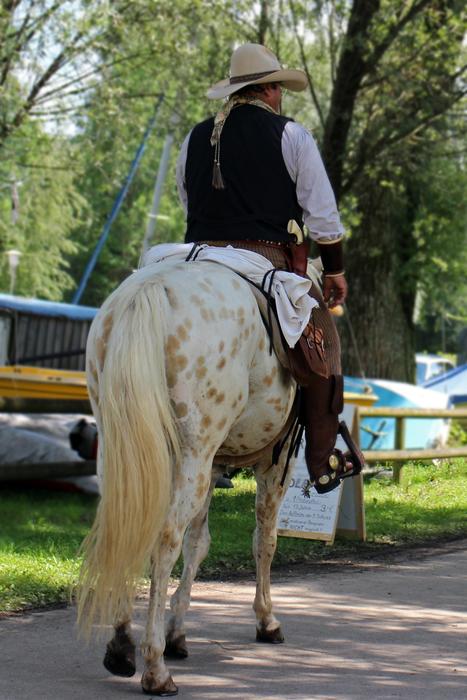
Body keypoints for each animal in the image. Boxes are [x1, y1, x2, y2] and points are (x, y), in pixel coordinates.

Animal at [77, 252, 301, 696]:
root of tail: (151, 288)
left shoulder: (213, 466)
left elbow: (199, 543)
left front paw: (178, 631)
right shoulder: (274, 463)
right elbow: (264, 540)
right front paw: (266, 619)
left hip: (125, 449)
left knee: (127, 522)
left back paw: (121, 645)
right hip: (194, 452)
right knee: (164, 538)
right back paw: (154, 667)